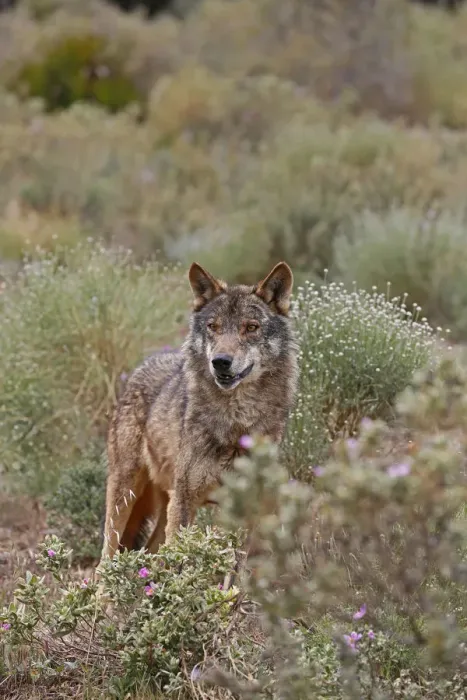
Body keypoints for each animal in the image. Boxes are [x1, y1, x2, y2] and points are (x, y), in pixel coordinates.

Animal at [99, 261, 298, 562]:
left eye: (251, 327)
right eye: (213, 326)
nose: (221, 362)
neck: (234, 424)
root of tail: (143, 365)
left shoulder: (239, 509)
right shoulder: (184, 501)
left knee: (151, 549)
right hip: (126, 494)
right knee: (108, 554)